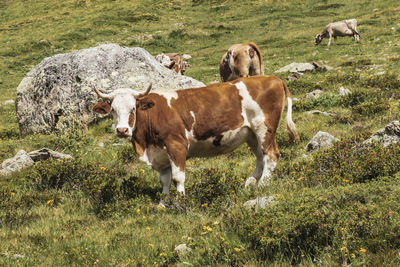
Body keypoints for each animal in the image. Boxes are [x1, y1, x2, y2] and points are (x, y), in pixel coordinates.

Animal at [91, 75, 296, 201]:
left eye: (133, 108)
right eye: (113, 110)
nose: (122, 130)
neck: (146, 145)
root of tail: (273, 78)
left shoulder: (176, 146)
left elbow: (177, 178)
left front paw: (180, 201)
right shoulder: (160, 154)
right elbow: (164, 180)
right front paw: (163, 204)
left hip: (264, 128)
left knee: (271, 156)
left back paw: (261, 185)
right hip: (251, 133)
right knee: (261, 157)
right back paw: (249, 184)